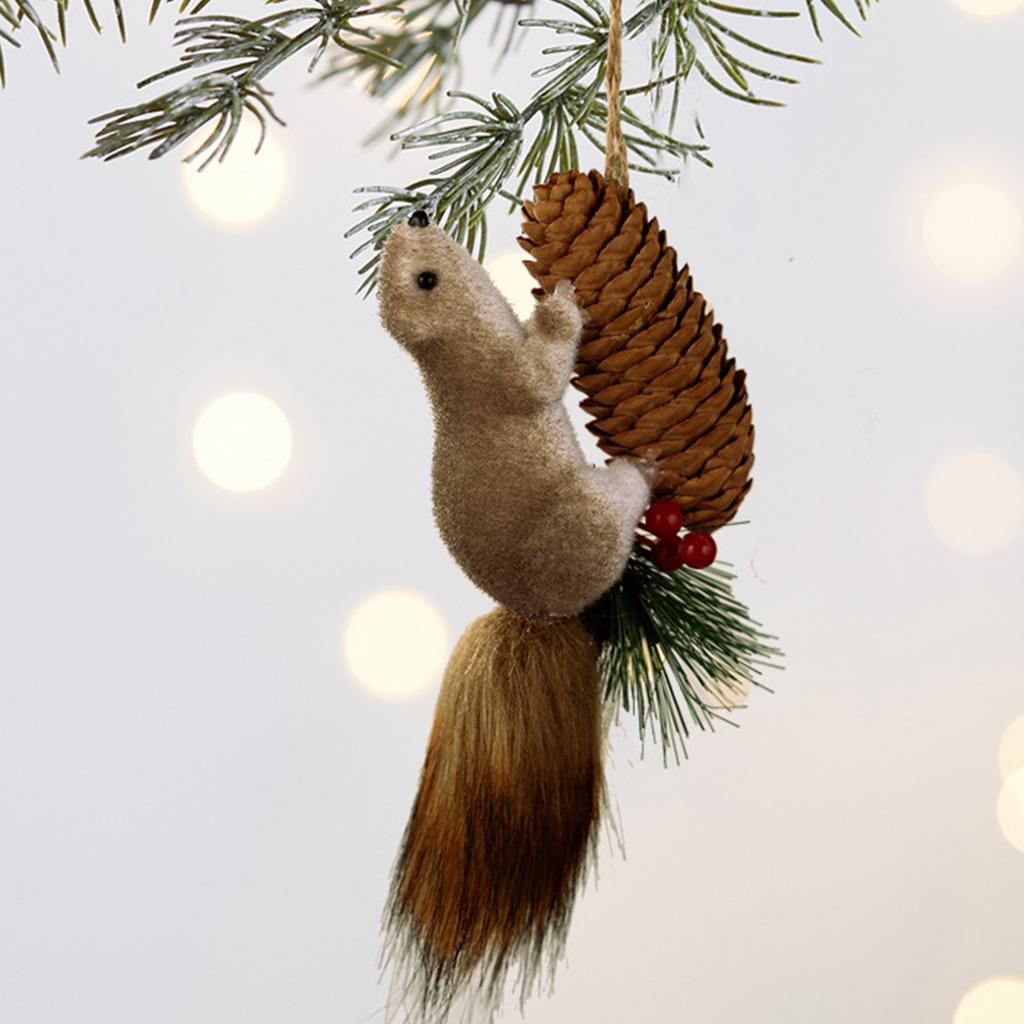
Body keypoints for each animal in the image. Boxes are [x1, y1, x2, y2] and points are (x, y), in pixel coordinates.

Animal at [377, 210, 651, 1020]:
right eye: (425, 278)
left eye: (402, 253)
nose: (416, 214)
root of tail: (534, 612)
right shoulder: (507, 376)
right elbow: (543, 373)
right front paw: (560, 299)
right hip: (585, 519)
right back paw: (639, 472)